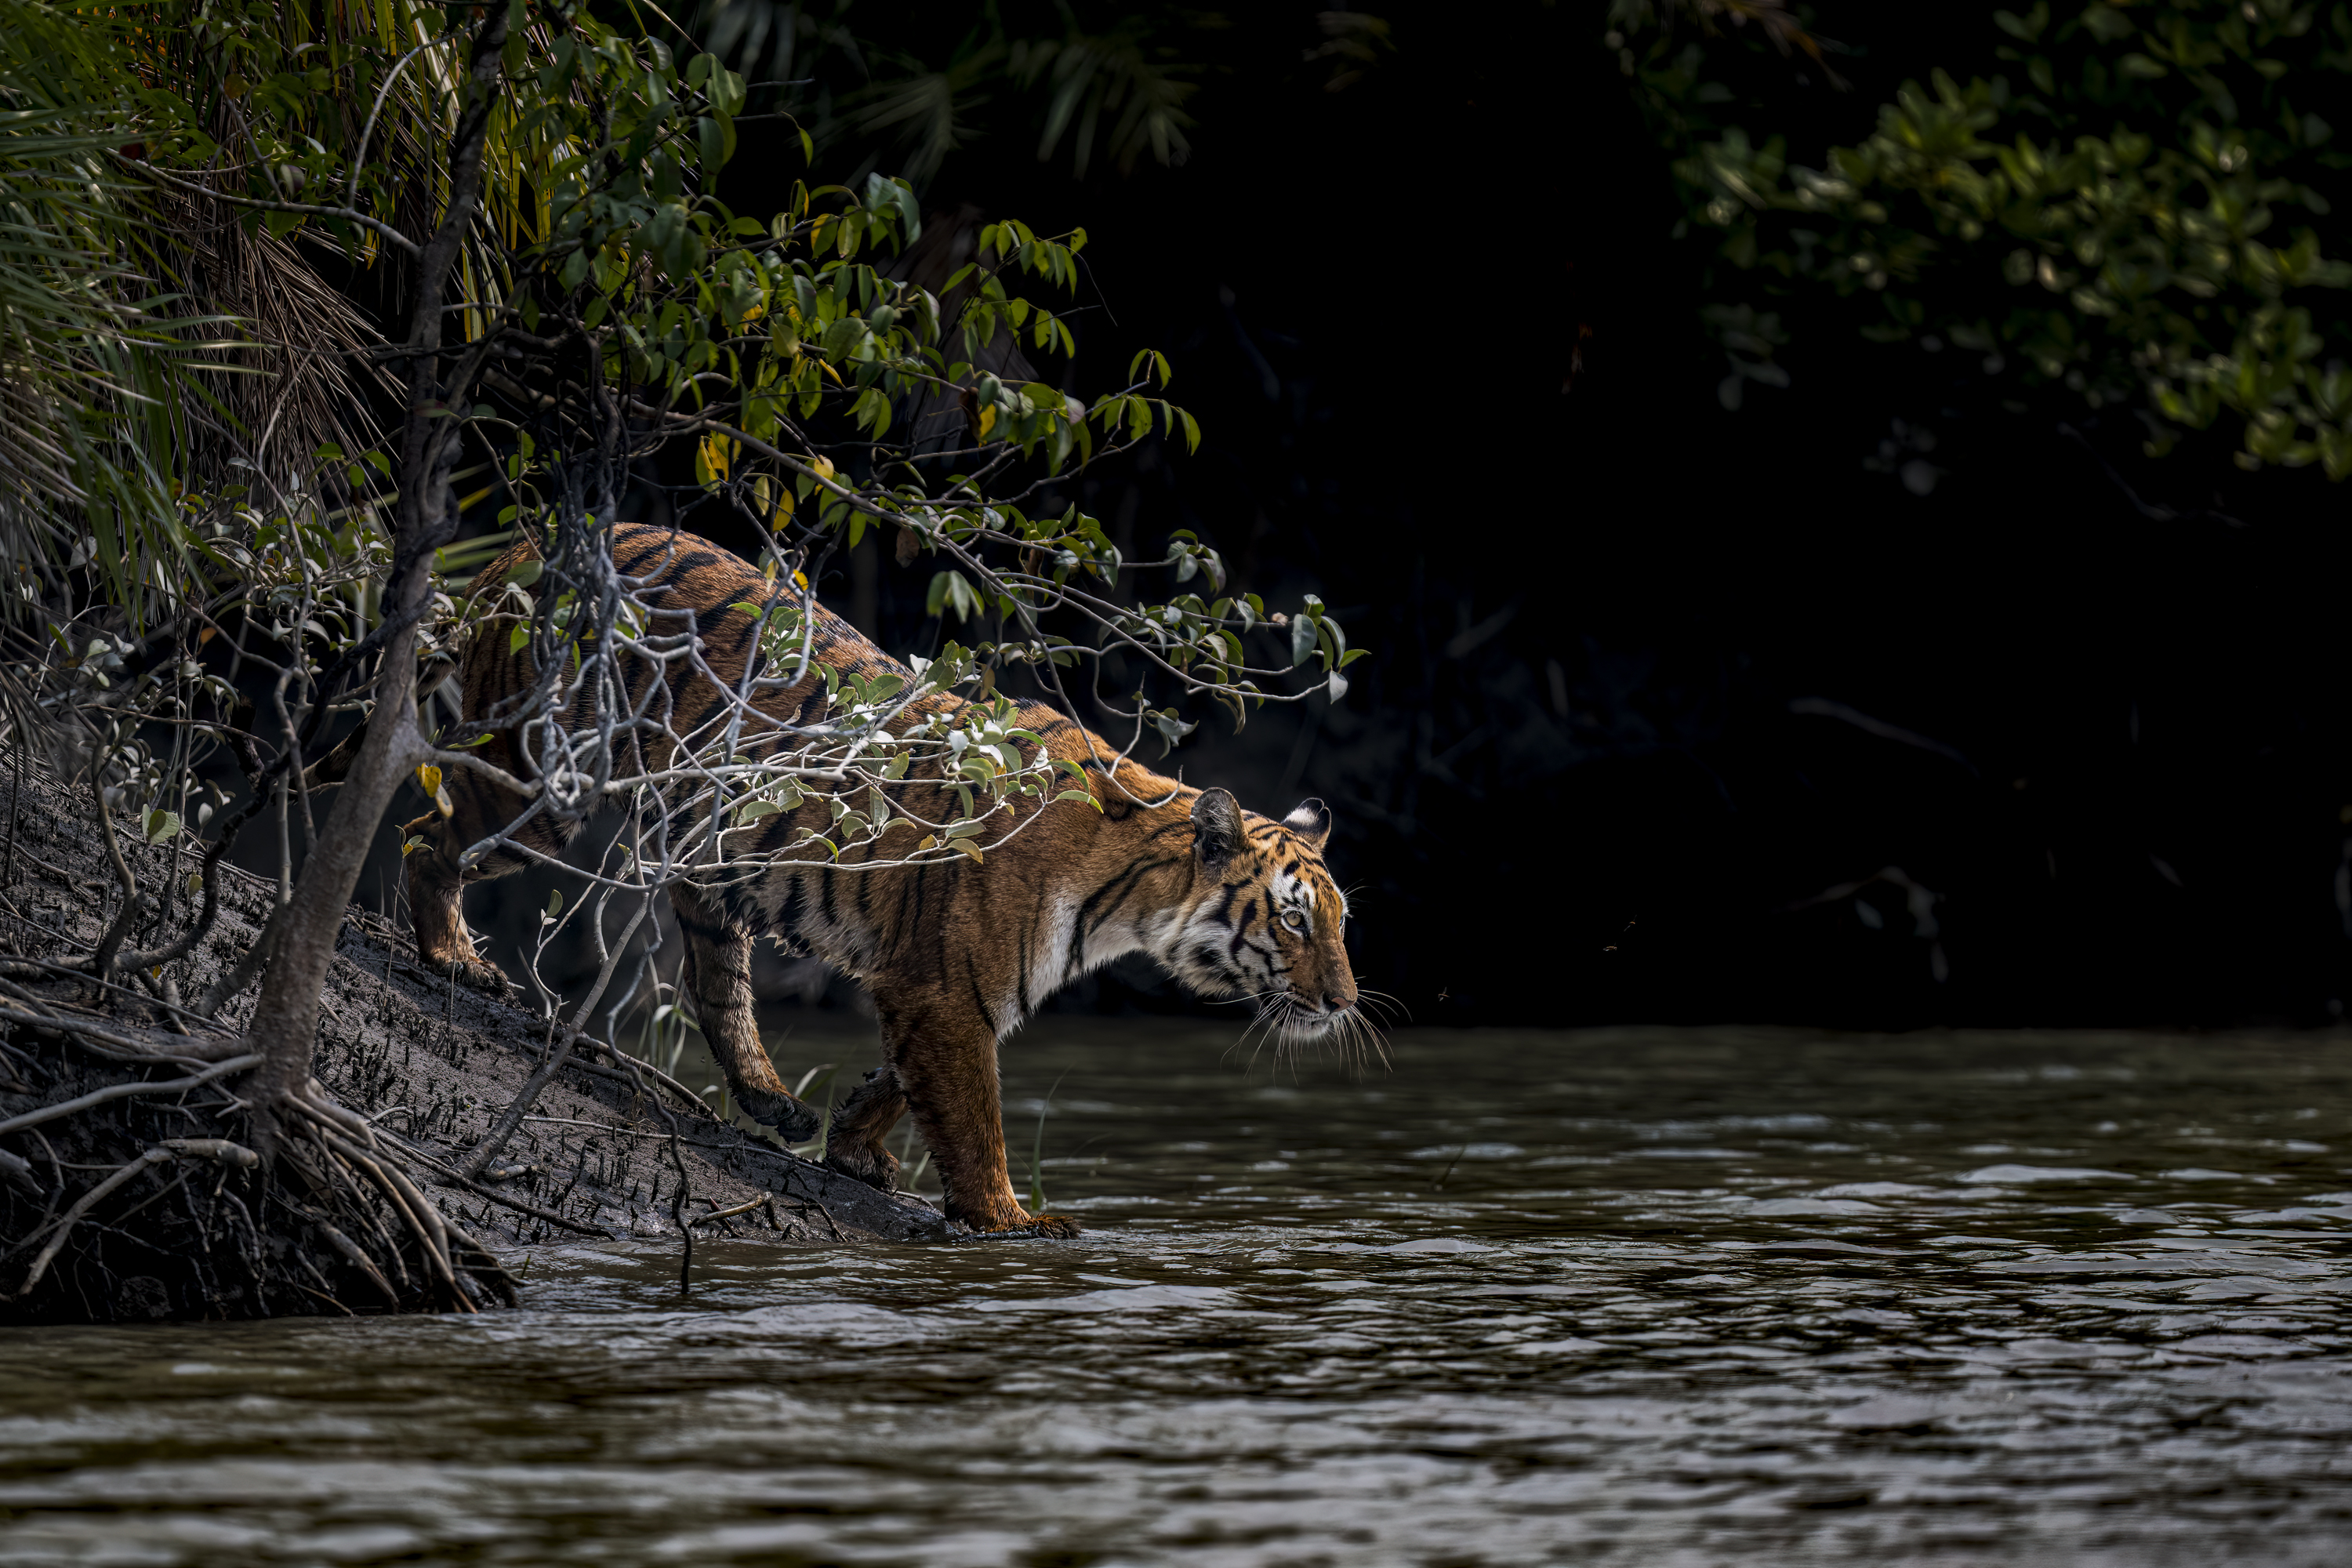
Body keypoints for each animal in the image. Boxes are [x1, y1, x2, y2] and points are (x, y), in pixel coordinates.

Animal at [400, 524, 1364, 1241]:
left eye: (1341, 920)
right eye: (1294, 921)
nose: (1346, 1002)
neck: (1126, 898)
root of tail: (524, 548)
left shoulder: (940, 985)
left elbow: (901, 1078)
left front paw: (851, 1144)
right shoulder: (947, 987)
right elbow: (974, 1115)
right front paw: (1010, 1218)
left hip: (710, 852)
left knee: (715, 978)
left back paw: (773, 1100)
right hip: (536, 779)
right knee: (423, 833)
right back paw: (454, 957)